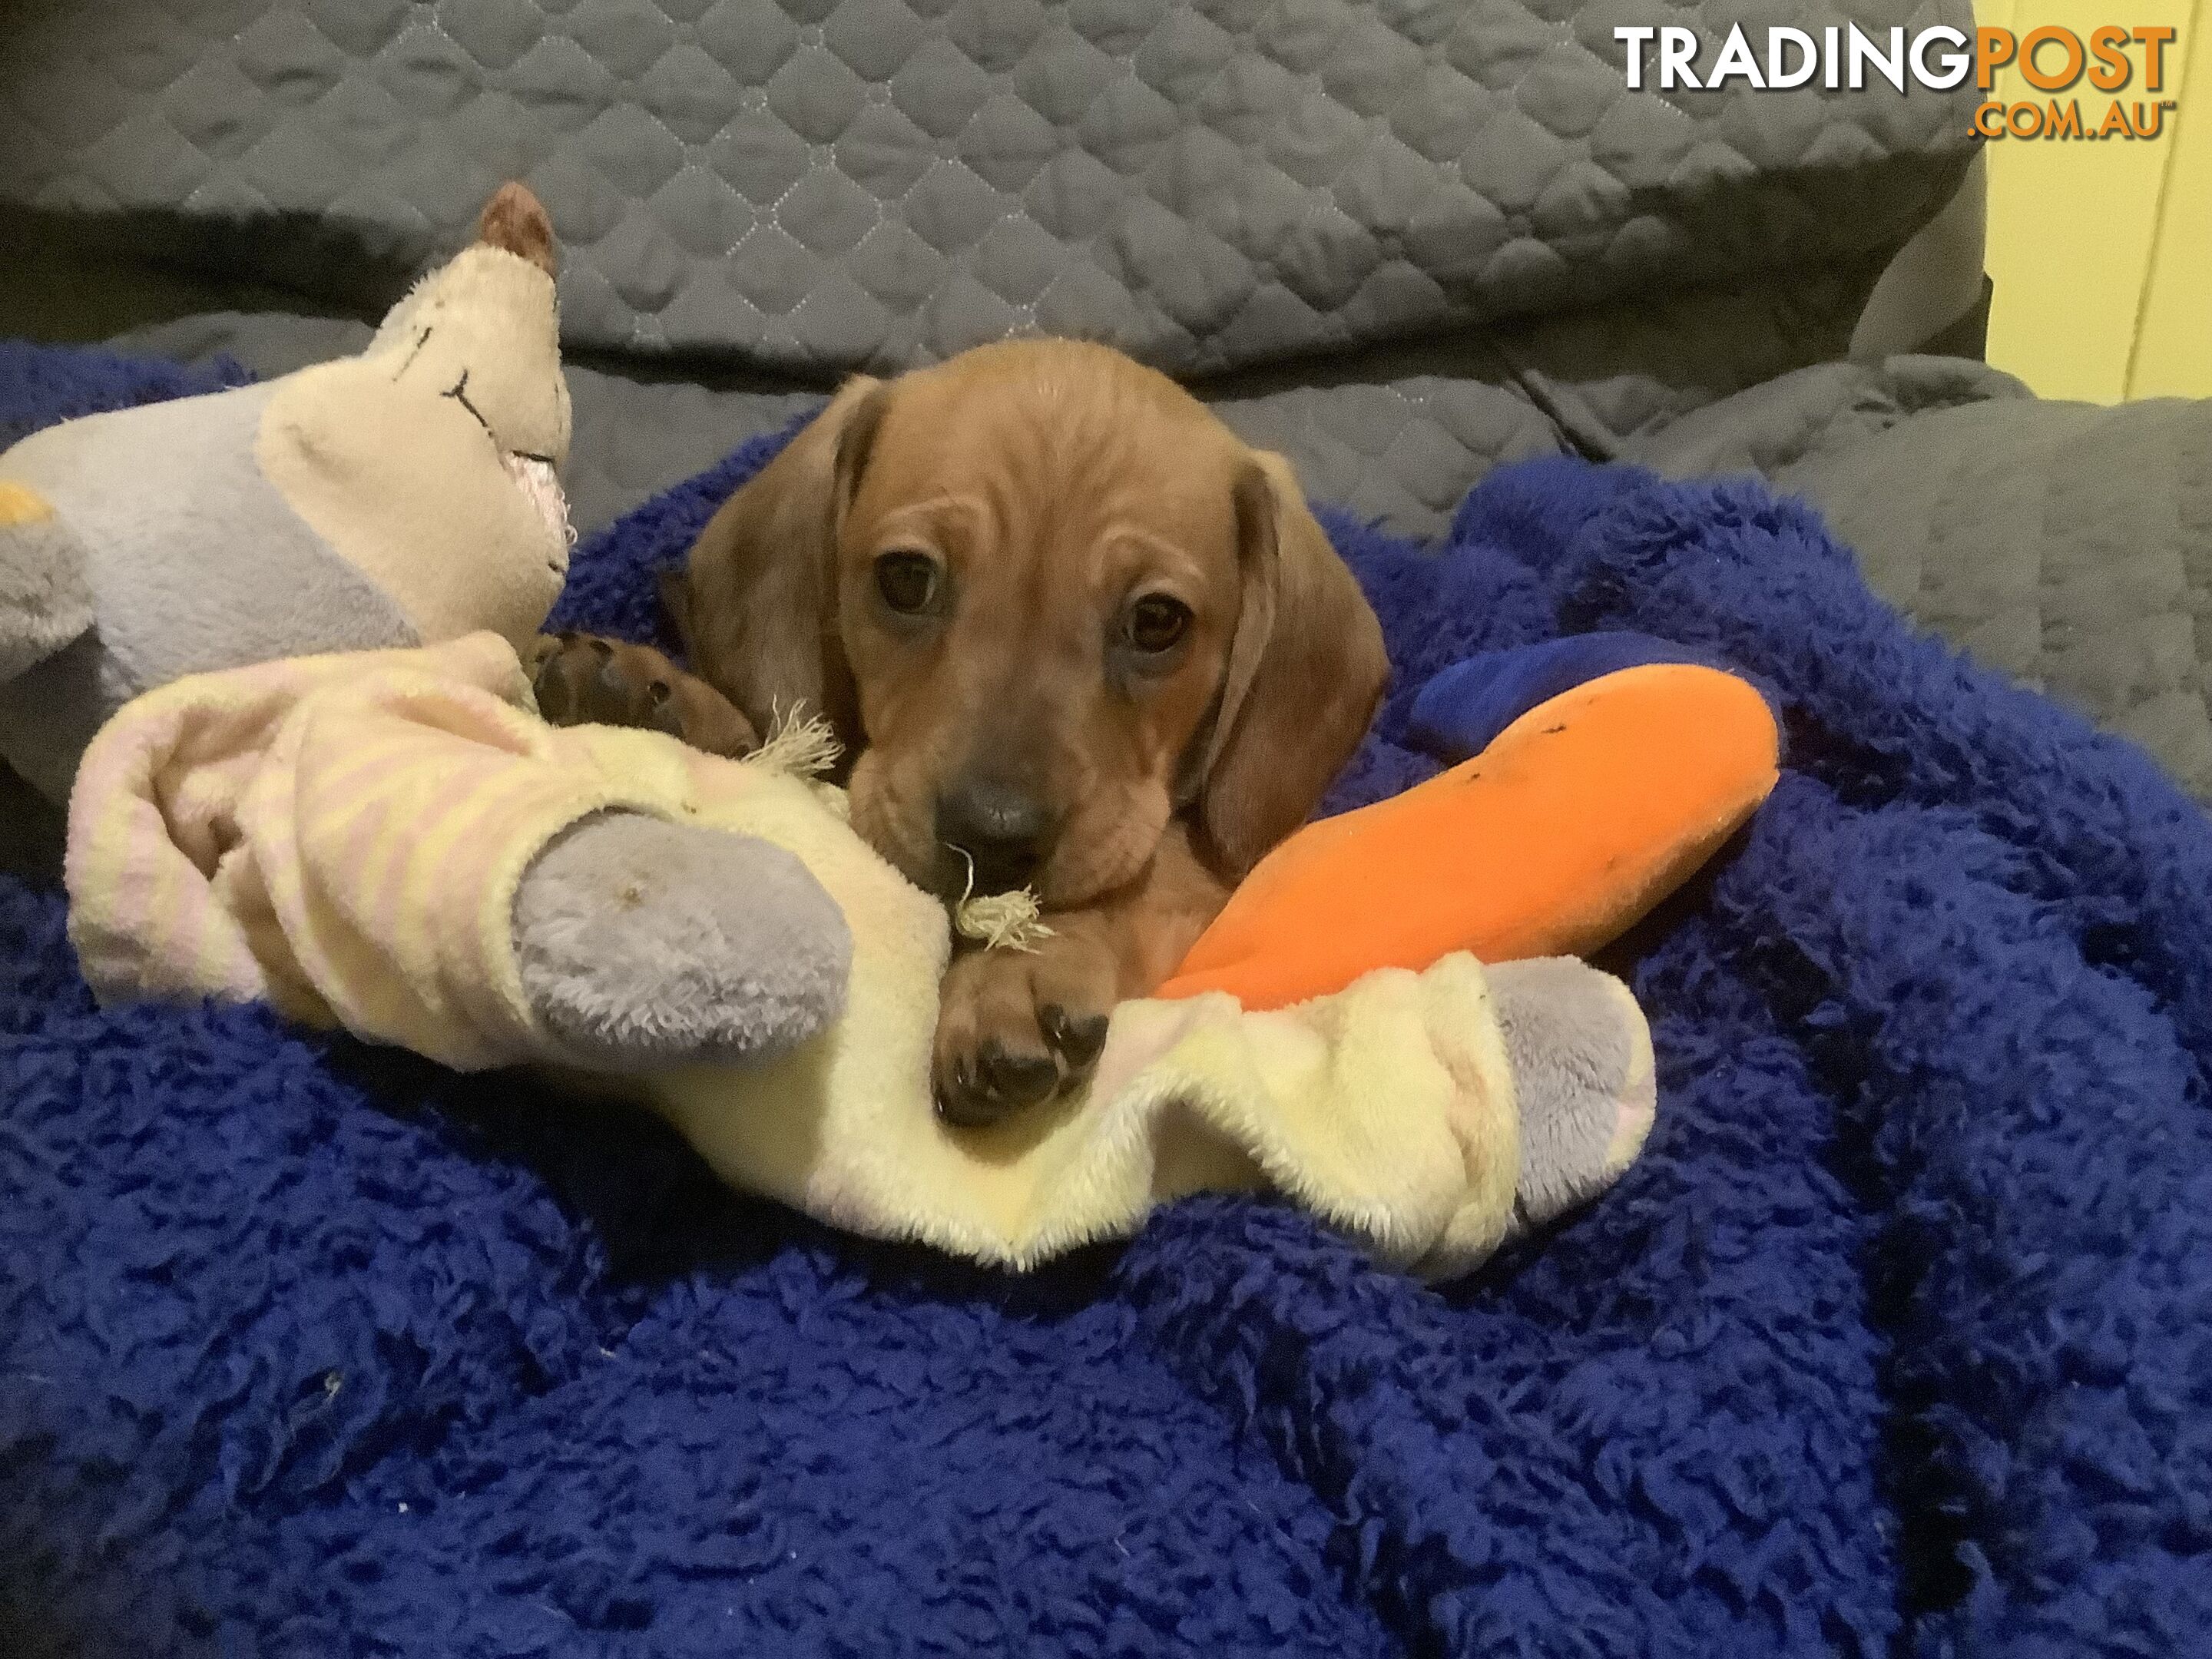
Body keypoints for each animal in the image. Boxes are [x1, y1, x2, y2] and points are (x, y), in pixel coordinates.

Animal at [539, 338, 1380, 1124]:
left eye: (1157, 622)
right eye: (908, 579)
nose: (993, 839)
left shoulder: (1208, 878)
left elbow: (1137, 875)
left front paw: (1016, 970)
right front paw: (657, 698)